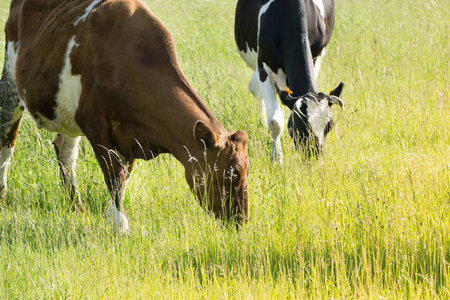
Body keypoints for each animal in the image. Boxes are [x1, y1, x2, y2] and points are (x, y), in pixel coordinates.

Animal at [0, 0, 250, 232]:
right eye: (232, 174)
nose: (242, 220)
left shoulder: (131, 137)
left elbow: (124, 175)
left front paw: (112, 216)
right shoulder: (95, 124)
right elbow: (114, 174)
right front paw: (120, 225)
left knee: (65, 153)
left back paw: (76, 207)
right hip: (11, 80)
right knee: (7, 143)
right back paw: (2, 196)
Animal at [236, 0, 344, 162]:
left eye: (329, 126)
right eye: (300, 127)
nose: (314, 157)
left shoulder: (316, 57)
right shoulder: (263, 65)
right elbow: (275, 121)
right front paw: (277, 159)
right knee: (255, 89)